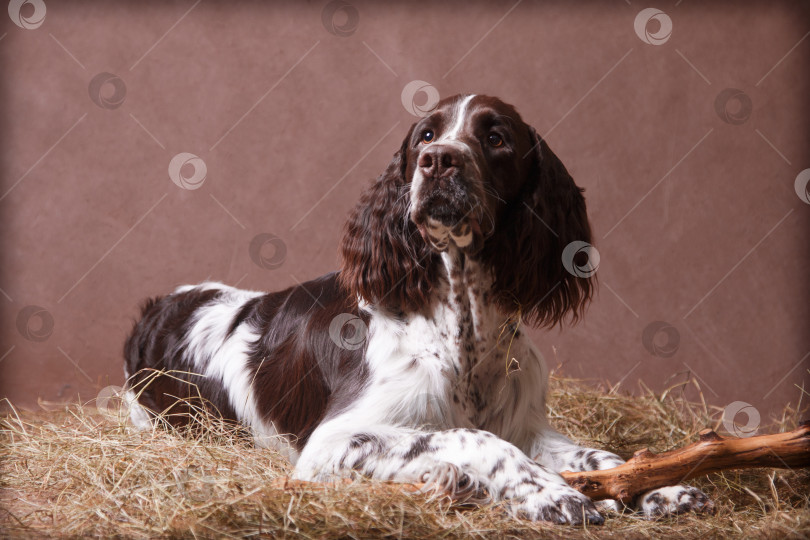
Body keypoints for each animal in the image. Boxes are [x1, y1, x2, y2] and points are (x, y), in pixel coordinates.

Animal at [123, 94, 712, 524]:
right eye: (425, 136)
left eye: (495, 137)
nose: (437, 161)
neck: (464, 328)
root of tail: (154, 312)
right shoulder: (330, 444)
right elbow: (474, 436)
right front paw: (548, 492)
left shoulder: (529, 426)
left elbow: (599, 455)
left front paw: (664, 487)